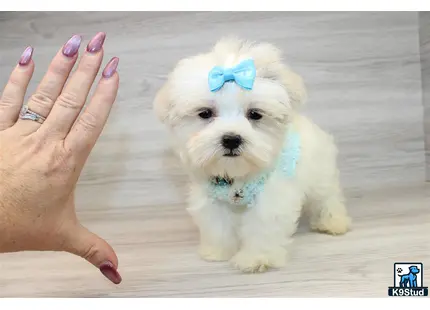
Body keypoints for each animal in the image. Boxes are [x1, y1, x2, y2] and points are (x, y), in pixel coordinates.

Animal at [153, 37, 352, 272]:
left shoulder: (270, 198)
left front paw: (257, 258)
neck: (237, 175)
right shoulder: (213, 200)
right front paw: (218, 252)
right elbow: (218, 225)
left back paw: (333, 222)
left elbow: (262, 226)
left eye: (255, 114)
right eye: (205, 113)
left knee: (327, 198)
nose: (231, 138)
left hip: (320, 174)